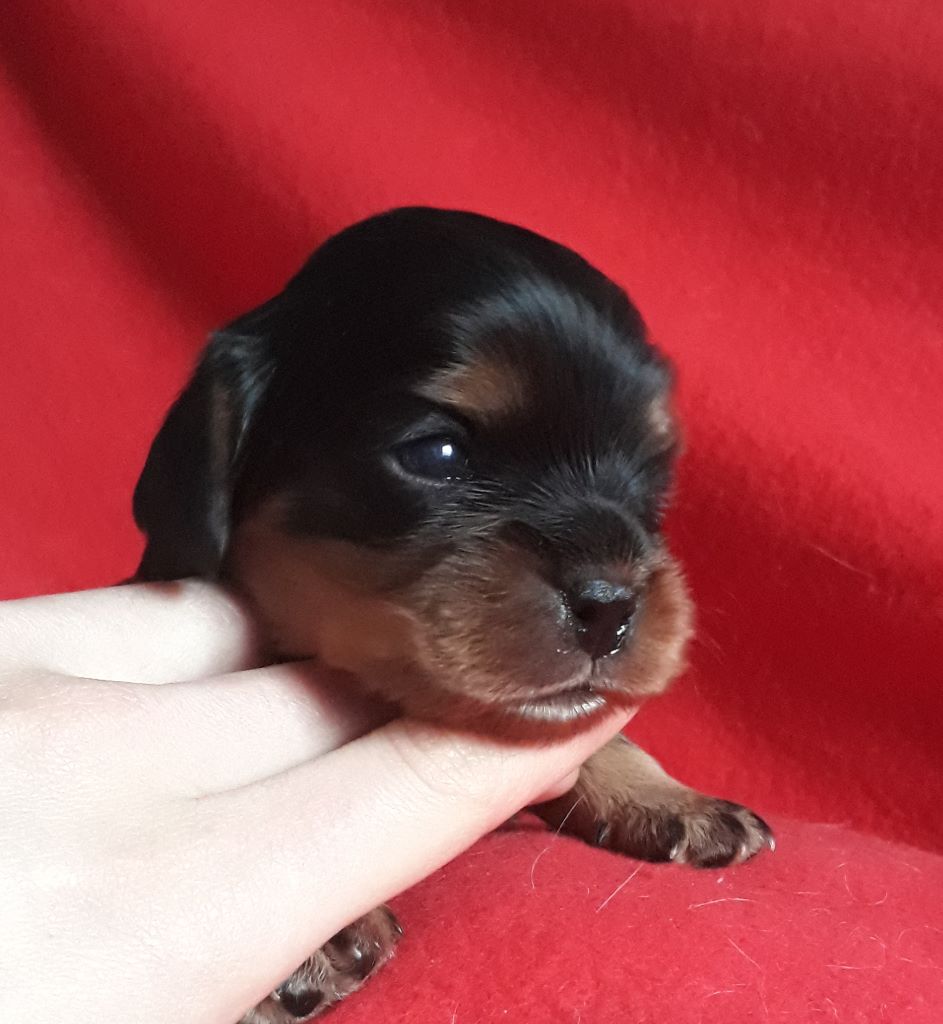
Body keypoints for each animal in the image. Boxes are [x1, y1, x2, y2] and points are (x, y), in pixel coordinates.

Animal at [133, 207, 773, 1022]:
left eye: (652, 474)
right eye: (436, 454)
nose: (611, 607)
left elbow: (593, 728)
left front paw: (663, 794)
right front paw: (308, 943)